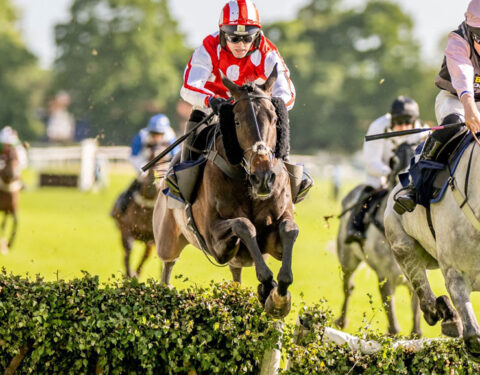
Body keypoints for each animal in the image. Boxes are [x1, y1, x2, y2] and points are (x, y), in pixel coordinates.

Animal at [336, 142, 422, 336]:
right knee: (347, 287)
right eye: (393, 161)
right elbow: (393, 324)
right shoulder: (385, 275)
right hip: (347, 259)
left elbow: (416, 325)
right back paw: (341, 321)